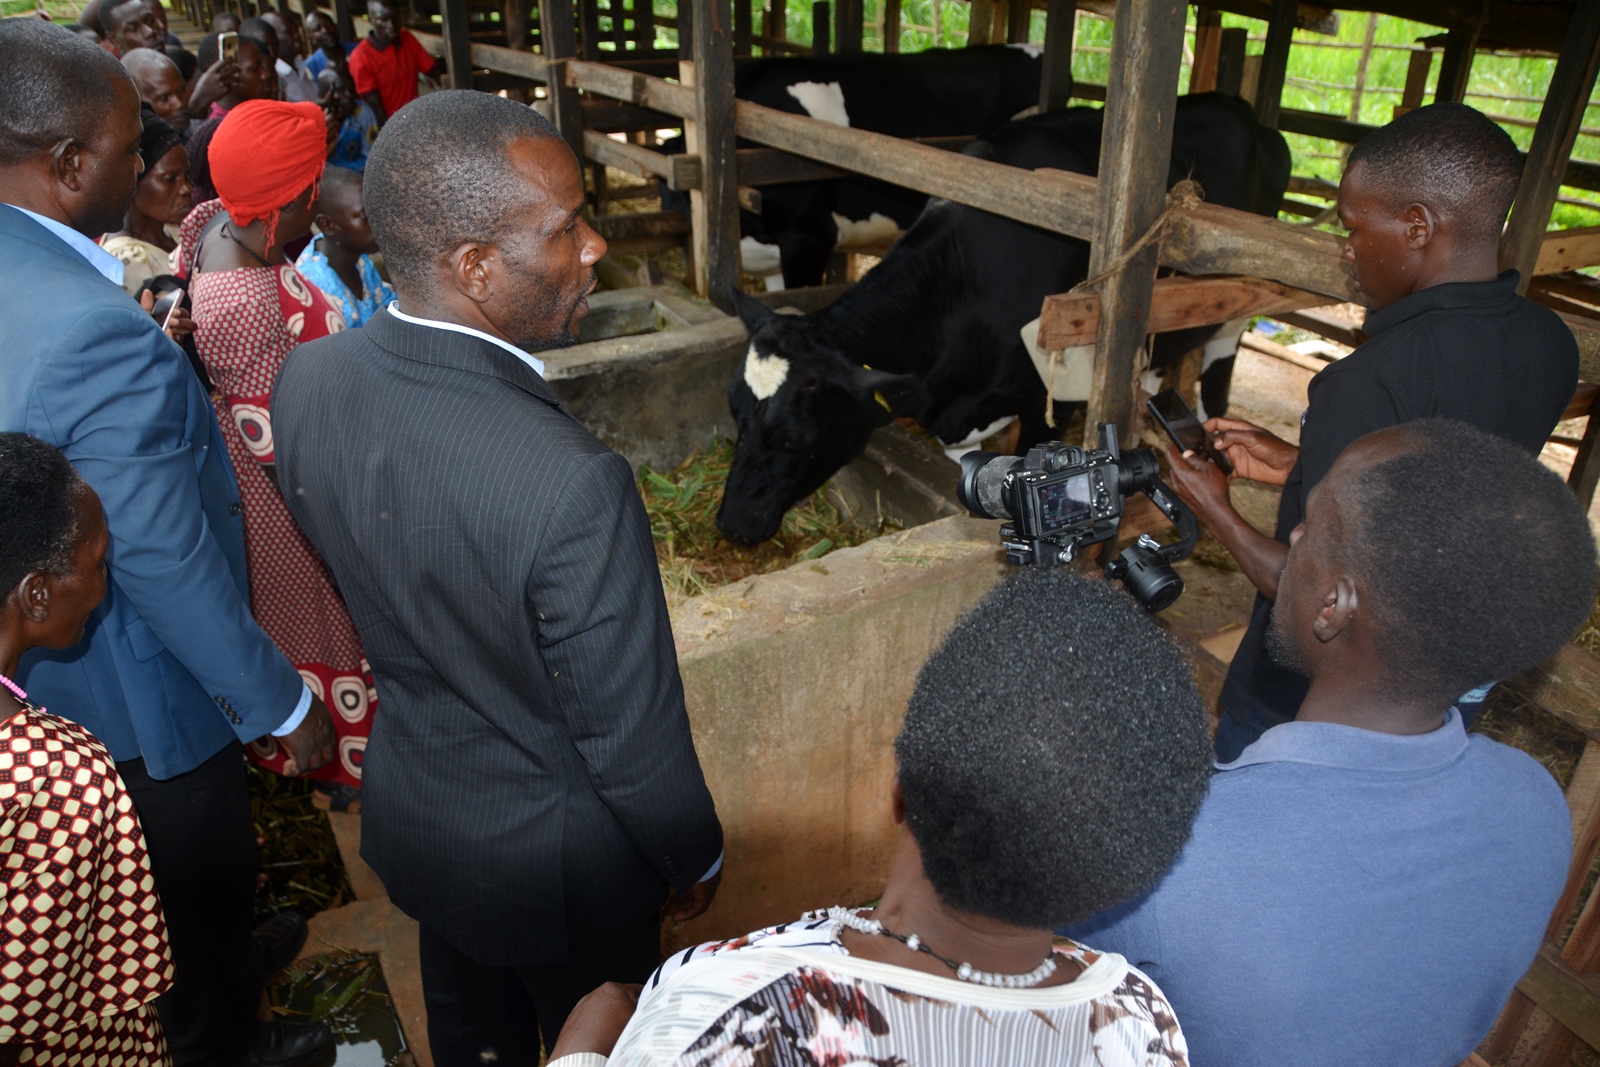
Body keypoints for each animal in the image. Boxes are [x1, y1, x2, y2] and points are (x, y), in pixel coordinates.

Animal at [720, 90, 1292, 543]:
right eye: (735, 413)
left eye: (793, 438)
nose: (731, 525)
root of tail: (1241, 108)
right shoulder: (961, 418)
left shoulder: (1052, 404)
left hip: (1238, 308)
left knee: (1217, 381)